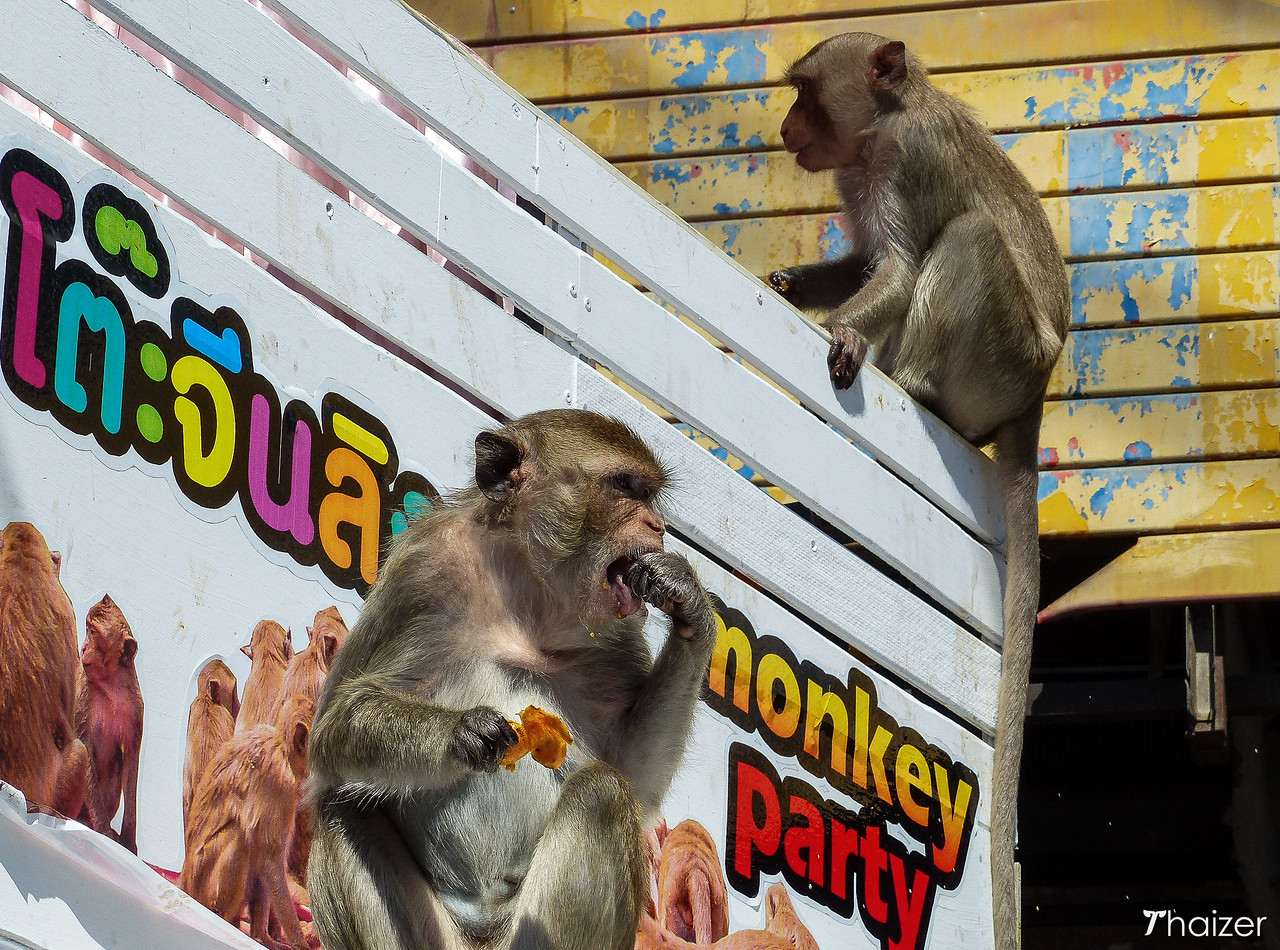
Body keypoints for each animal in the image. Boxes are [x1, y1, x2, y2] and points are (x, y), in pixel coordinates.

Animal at [74, 594, 145, 852]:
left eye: (93, 632)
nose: (83, 648)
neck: (110, 686)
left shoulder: (135, 708)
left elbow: (131, 761)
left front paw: (129, 841)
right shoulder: (84, 691)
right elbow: (83, 746)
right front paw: (103, 829)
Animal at [181, 693, 313, 950]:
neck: (283, 749)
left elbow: (265, 862)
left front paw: (263, 936)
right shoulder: (278, 781)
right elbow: (270, 859)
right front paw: (300, 943)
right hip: (202, 883)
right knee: (241, 837)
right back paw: (221, 921)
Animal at [306, 408, 718, 950]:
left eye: (648, 495)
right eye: (624, 487)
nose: (659, 527)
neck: (528, 599)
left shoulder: (619, 637)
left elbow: (632, 773)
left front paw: (689, 602)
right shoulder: (421, 575)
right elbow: (334, 728)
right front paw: (461, 732)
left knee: (603, 793)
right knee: (341, 808)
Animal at [766, 34, 1069, 947]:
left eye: (805, 91)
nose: (785, 123)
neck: (880, 130)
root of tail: (1036, 397)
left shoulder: (908, 160)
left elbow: (899, 268)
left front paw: (842, 330)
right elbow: (866, 263)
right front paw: (796, 285)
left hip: (1001, 359)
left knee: (969, 237)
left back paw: (913, 383)